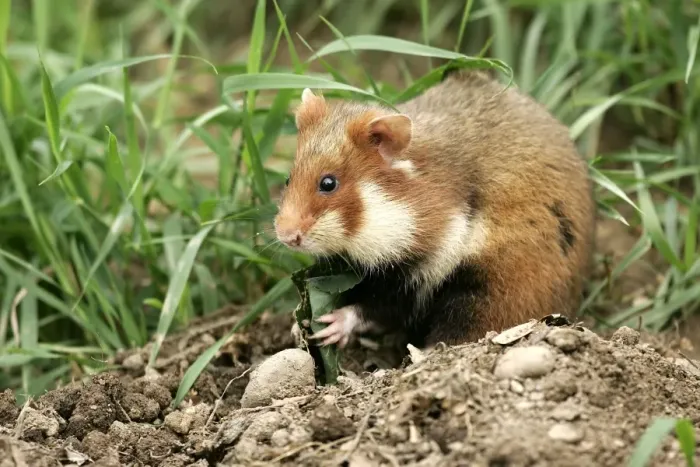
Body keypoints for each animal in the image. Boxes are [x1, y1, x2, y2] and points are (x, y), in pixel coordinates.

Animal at [274, 69, 596, 349]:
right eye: (289, 179)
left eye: (328, 183)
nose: (285, 237)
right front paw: (297, 326)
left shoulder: (429, 265)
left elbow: (376, 308)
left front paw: (330, 327)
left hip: (496, 287)